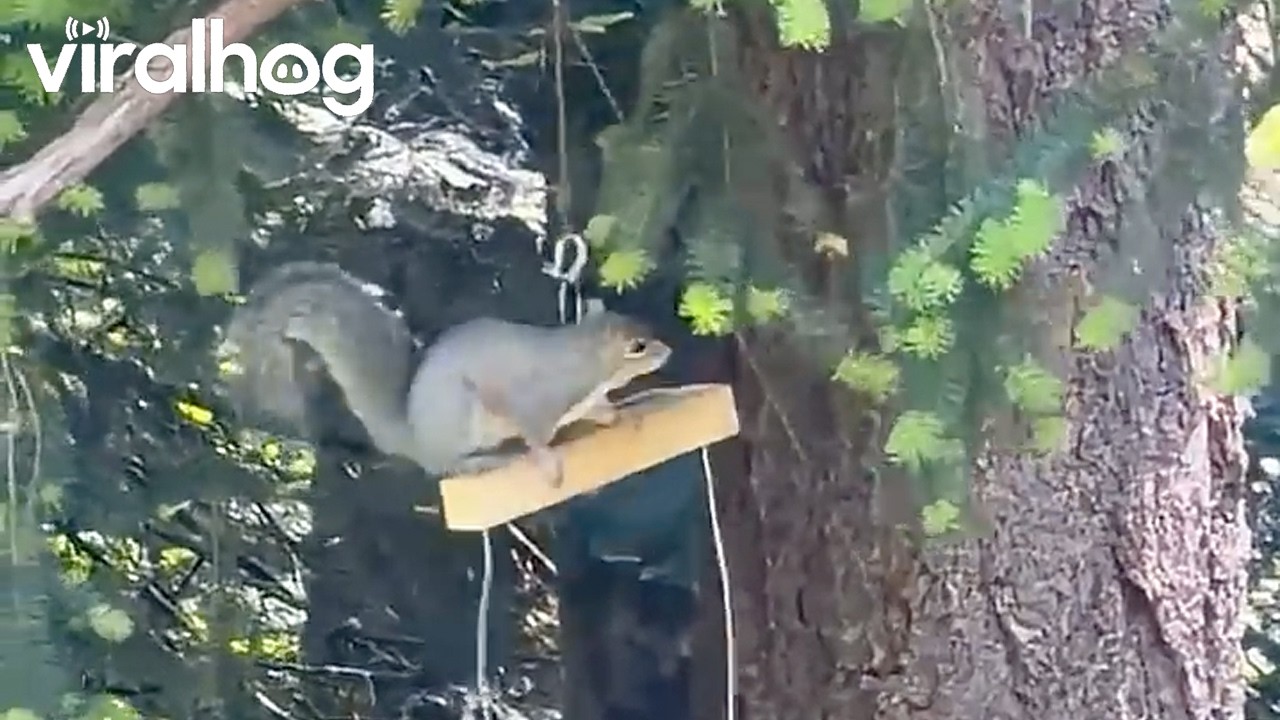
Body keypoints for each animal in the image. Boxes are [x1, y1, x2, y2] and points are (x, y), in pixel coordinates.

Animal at [220, 261, 672, 488]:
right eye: (636, 347)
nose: (667, 351)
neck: (586, 362)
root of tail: (415, 440)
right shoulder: (536, 401)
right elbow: (535, 433)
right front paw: (548, 463)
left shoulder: (585, 400)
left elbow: (600, 411)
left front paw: (620, 416)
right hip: (461, 416)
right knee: (445, 467)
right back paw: (483, 461)